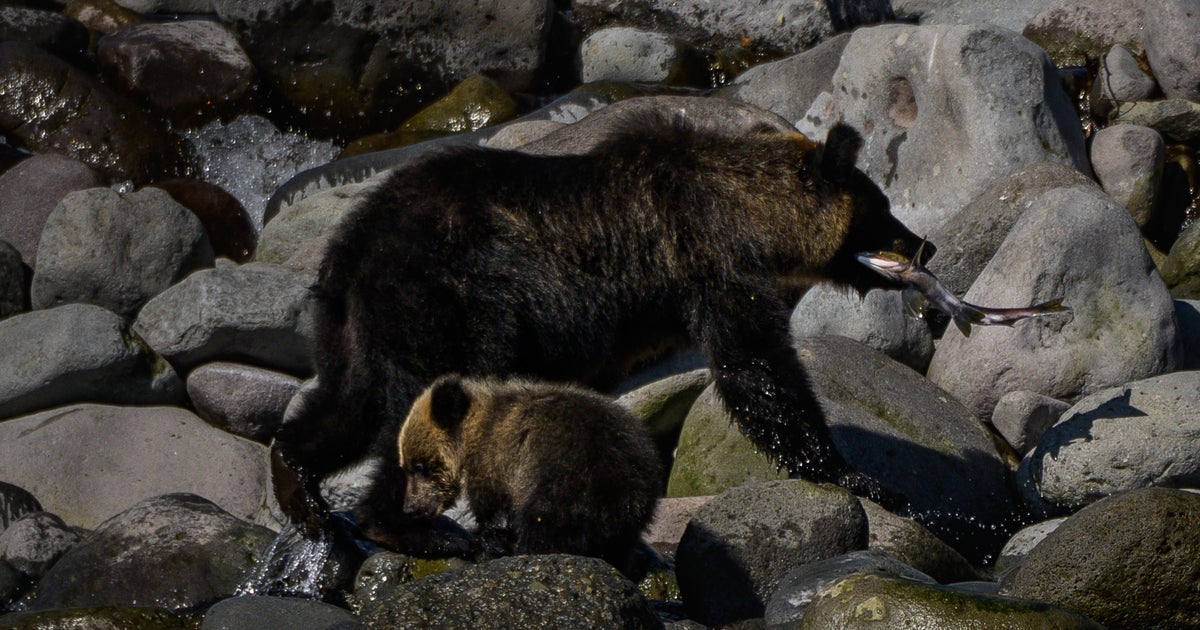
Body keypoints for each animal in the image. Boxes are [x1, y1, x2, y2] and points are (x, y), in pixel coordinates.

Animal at [272, 105, 928, 550]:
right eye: (881, 208)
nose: (925, 243)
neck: (747, 214)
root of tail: (353, 245)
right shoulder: (707, 259)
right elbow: (757, 370)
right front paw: (860, 475)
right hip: (445, 298)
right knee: (414, 405)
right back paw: (405, 525)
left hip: (353, 323)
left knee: (347, 404)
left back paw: (300, 485)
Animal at [370, 374, 663, 574]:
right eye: (406, 466)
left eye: (418, 467)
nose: (410, 507)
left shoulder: (496, 465)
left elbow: (493, 514)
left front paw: (486, 545)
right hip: (631, 503)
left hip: (564, 482)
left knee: (543, 527)